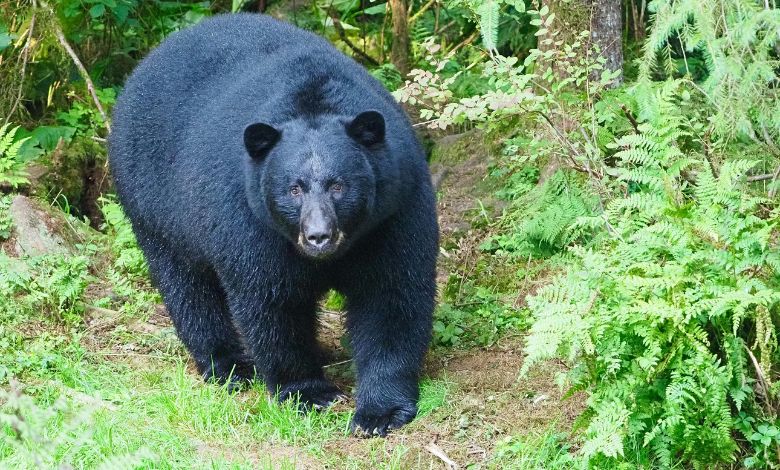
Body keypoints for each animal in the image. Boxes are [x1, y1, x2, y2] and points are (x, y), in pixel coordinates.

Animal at [108, 13, 438, 436]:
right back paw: (228, 366)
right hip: (154, 204)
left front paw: (380, 411)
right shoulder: (249, 220)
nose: (318, 237)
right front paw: (308, 393)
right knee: (187, 287)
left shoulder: (394, 211)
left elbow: (391, 294)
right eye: (294, 188)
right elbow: (271, 302)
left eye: (338, 185)